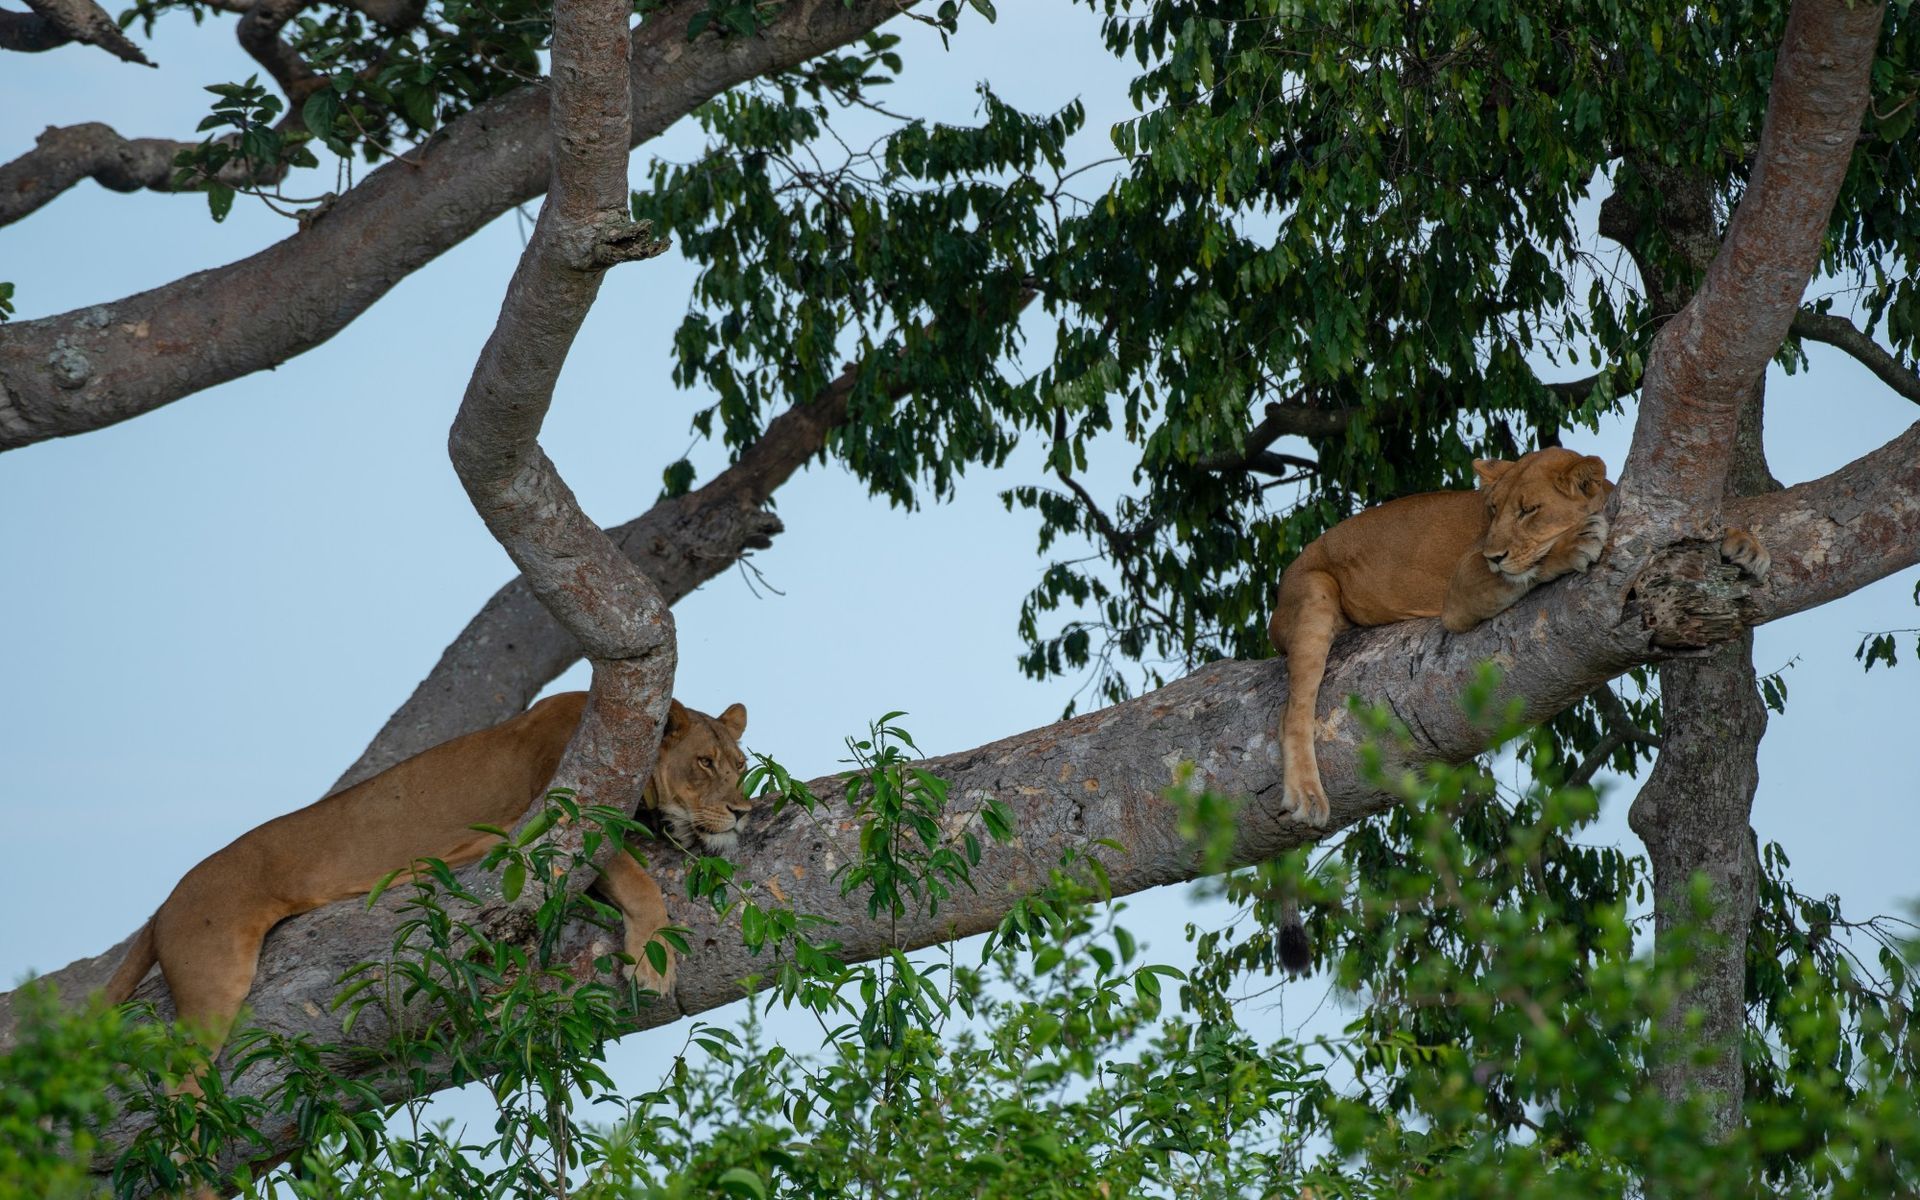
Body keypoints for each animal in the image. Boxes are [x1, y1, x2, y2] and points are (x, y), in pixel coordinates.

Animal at [101, 691, 750, 1051]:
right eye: (704, 762)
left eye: (741, 766)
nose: (743, 812)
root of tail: (163, 906)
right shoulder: (564, 815)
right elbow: (640, 884)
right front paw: (653, 963)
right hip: (212, 982)